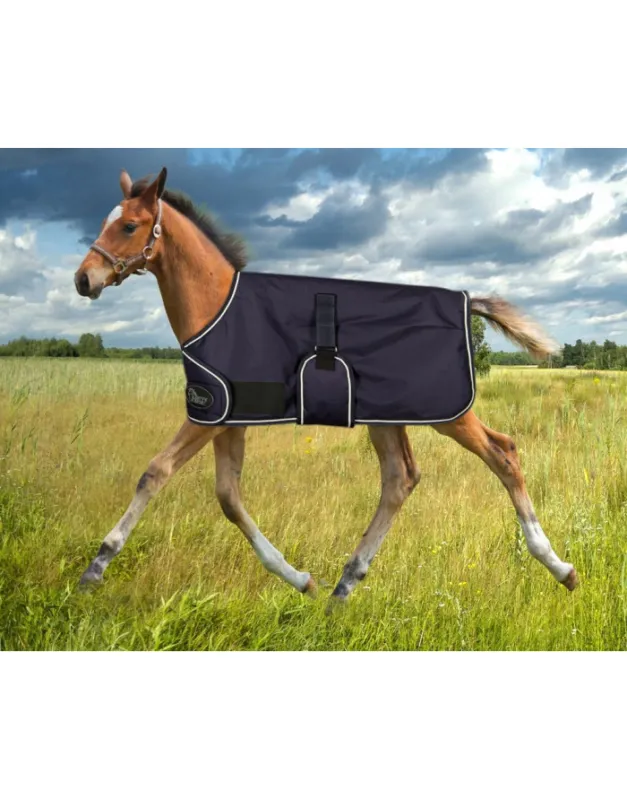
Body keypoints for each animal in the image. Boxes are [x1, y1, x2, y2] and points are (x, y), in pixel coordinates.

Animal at [73, 167, 578, 607]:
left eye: (130, 225)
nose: (83, 279)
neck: (218, 308)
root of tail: (467, 301)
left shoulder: (207, 414)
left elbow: (156, 472)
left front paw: (95, 568)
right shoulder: (227, 419)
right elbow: (229, 497)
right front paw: (300, 579)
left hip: (445, 412)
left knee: (502, 453)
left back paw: (559, 566)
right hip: (387, 417)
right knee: (400, 479)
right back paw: (343, 587)